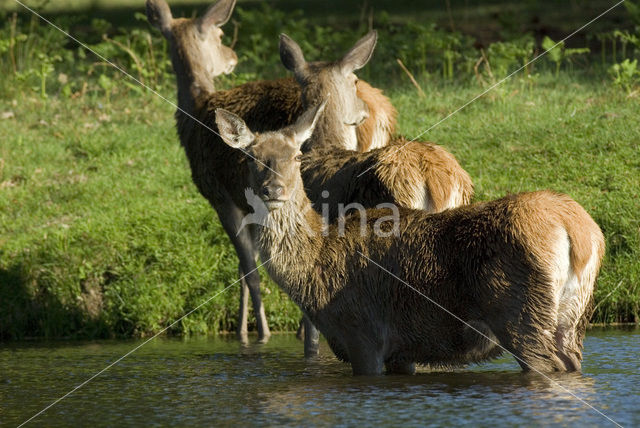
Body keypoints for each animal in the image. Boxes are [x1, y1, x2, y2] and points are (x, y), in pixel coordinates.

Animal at [214, 103, 604, 374]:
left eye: (295, 155)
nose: (273, 189)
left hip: (520, 315)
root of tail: (576, 231)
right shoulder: (401, 351)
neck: (313, 271)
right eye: (250, 156)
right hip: (574, 318)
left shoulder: (363, 334)